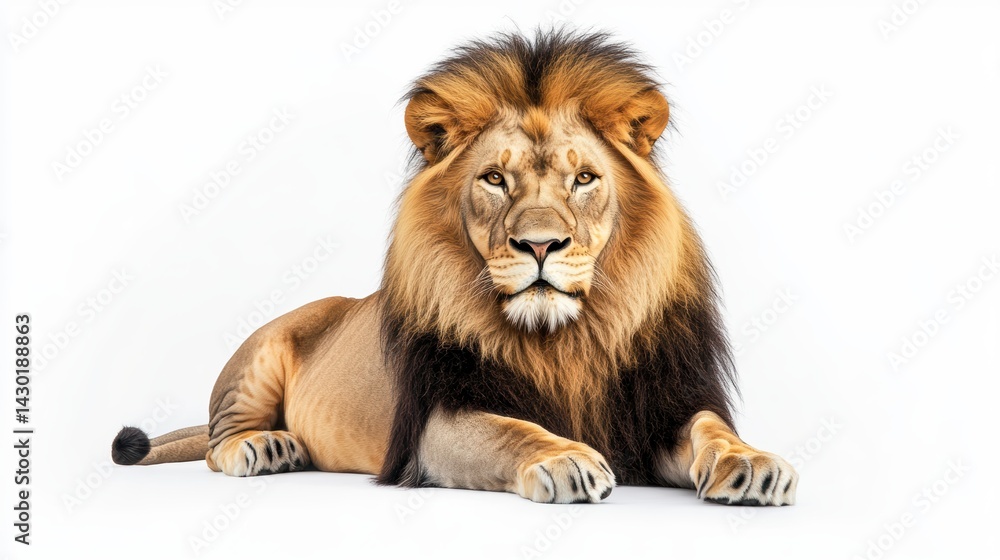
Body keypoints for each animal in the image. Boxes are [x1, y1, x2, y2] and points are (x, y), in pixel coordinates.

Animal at [111, 30, 798, 506]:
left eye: (584, 179)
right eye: (494, 179)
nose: (541, 245)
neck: (565, 341)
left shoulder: (662, 406)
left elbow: (712, 427)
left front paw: (752, 462)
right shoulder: (436, 424)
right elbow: (513, 430)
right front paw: (566, 459)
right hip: (261, 351)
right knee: (216, 444)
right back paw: (266, 446)